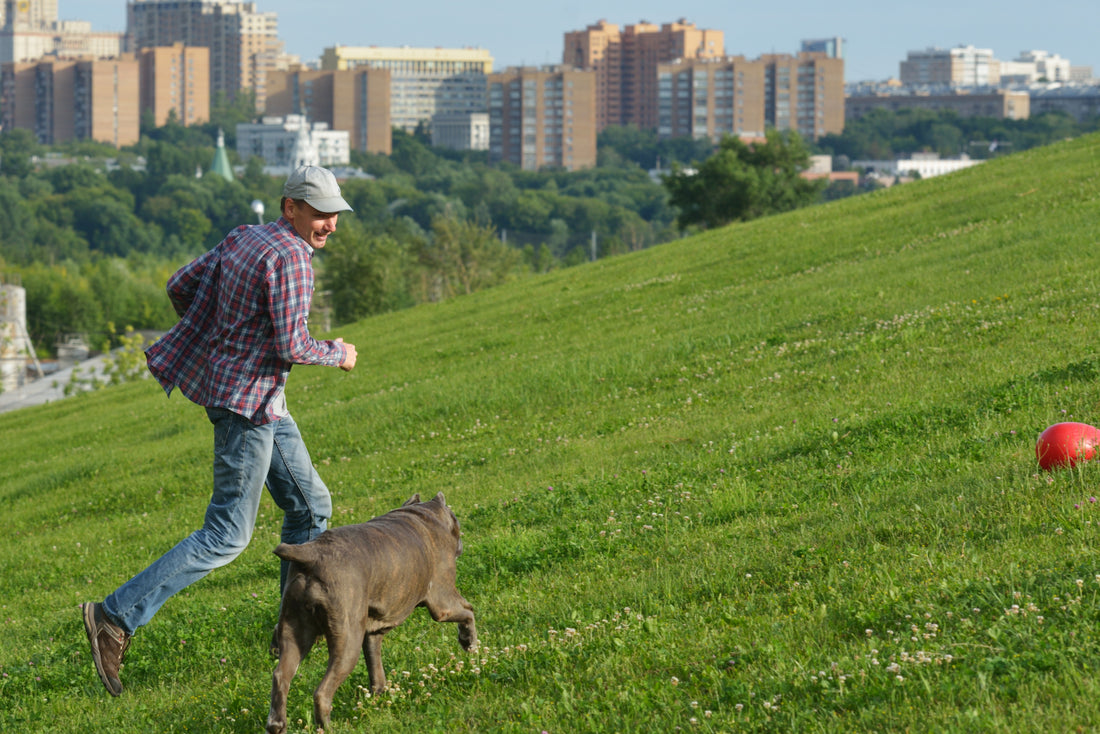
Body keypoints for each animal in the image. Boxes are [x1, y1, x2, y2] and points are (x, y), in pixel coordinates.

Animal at [266, 493, 477, 734]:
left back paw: (277, 724)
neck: (424, 516)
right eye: (456, 520)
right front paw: (469, 641)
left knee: (281, 676)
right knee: (322, 692)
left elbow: (375, 669)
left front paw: (379, 697)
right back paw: (328, 726)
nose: (461, 545)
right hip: (347, 641)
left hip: (295, 632)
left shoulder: (372, 635)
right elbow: (468, 610)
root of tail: (310, 555)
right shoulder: (443, 603)